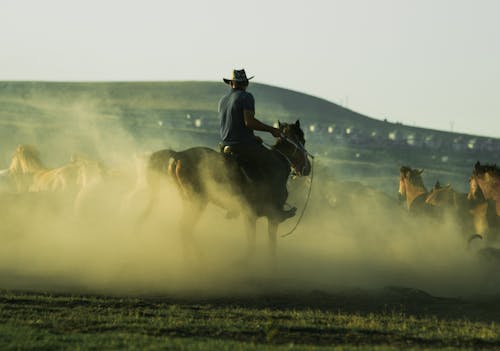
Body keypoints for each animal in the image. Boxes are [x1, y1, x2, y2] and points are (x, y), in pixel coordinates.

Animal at [141, 121, 310, 258]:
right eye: (302, 140)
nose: (307, 168)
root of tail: (178, 155)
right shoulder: (265, 216)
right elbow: (258, 247)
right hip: (197, 202)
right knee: (185, 228)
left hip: (188, 201)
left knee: (184, 229)